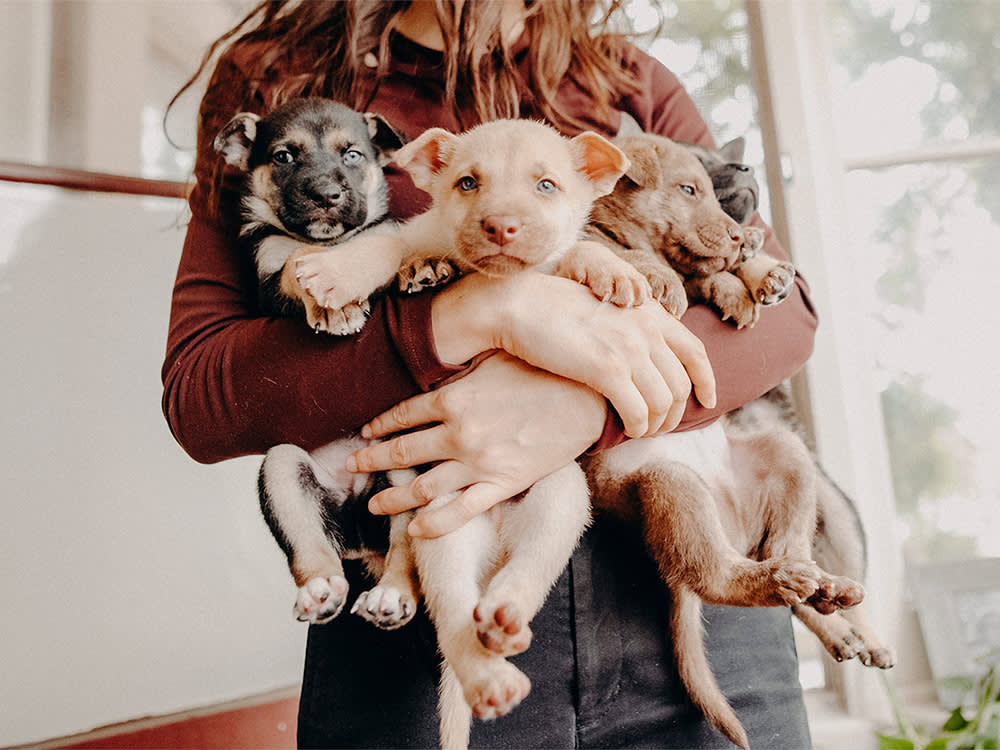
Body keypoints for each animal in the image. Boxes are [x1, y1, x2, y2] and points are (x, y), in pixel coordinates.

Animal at [584, 132, 896, 748]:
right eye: (689, 187)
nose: (736, 232)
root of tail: (728, 521)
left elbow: (702, 274)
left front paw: (745, 279)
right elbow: (627, 260)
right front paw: (663, 276)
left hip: (788, 458)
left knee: (790, 555)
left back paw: (829, 597)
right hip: (667, 486)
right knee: (717, 578)